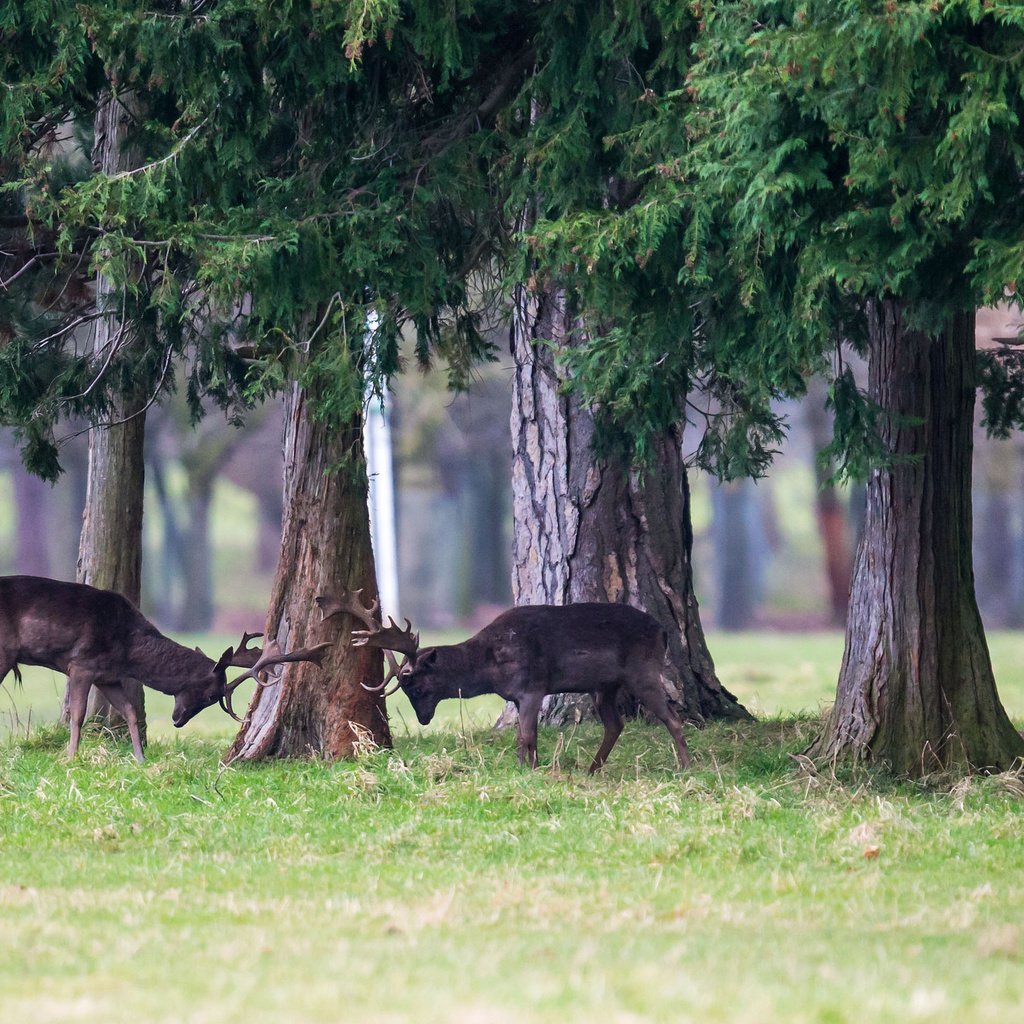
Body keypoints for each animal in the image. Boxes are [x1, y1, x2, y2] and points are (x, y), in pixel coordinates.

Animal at [0, 577, 329, 761]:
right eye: (212, 696)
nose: (178, 720)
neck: (128, 648)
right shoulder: (81, 663)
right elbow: (77, 715)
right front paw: (70, 758)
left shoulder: (108, 675)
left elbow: (130, 711)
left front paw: (140, 759)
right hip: (4, 650)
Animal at [315, 589, 692, 770]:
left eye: (417, 686)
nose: (423, 719)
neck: (491, 667)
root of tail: (662, 631)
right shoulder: (516, 694)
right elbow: (526, 736)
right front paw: (528, 767)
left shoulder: (532, 687)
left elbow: (526, 734)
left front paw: (530, 770)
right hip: (605, 686)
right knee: (615, 724)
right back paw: (592, 769)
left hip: (642, 671)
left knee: (673, 717)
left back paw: (686, 766)